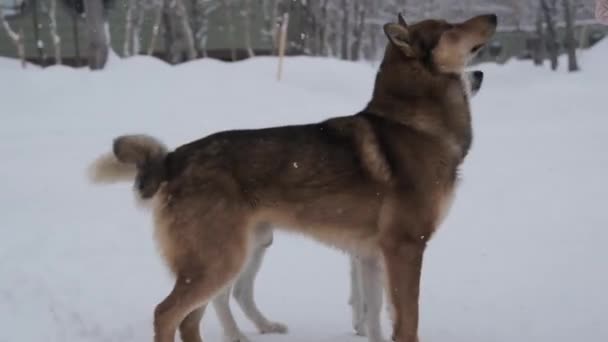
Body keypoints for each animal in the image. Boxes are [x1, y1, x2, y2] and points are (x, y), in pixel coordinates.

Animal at [91, 13, 498, 342]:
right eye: (450, 28)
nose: (493, 16)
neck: (414, 122)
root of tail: (174, 157)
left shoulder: (371, 256)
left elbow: (374, 320)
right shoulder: (406, 248)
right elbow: (406, 322)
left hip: (224, 258)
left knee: (192, 319)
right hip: (220, 261)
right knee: (166, 314)